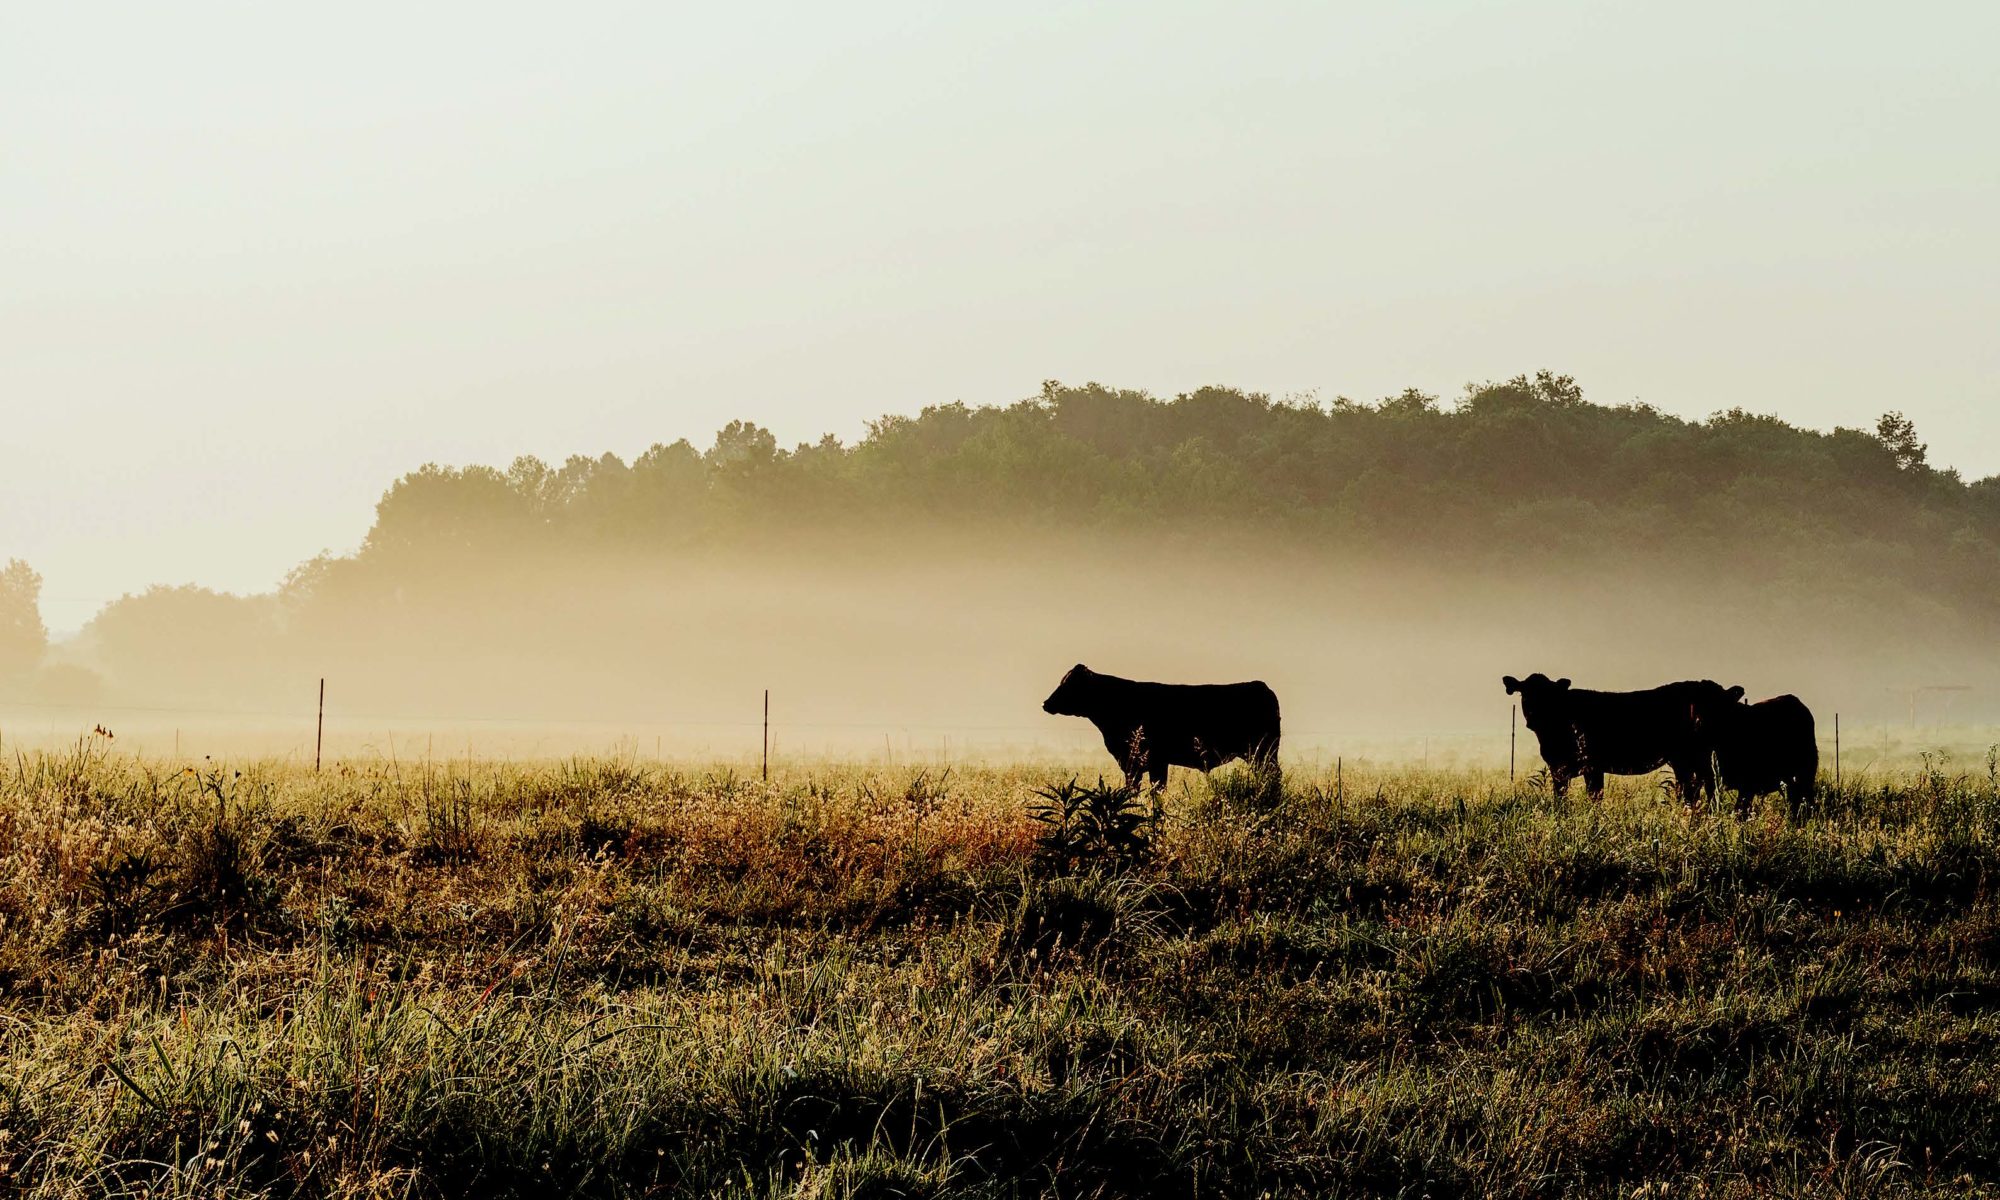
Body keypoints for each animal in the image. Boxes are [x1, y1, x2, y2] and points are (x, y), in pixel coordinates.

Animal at [1504, 672, 1736, 800]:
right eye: (1524, 693)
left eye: (1549, 695)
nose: (1533, 719)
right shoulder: (1557, 769)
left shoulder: (1592, 766)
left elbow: (1595, 796)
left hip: (1695, 756)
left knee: (1706, 785)